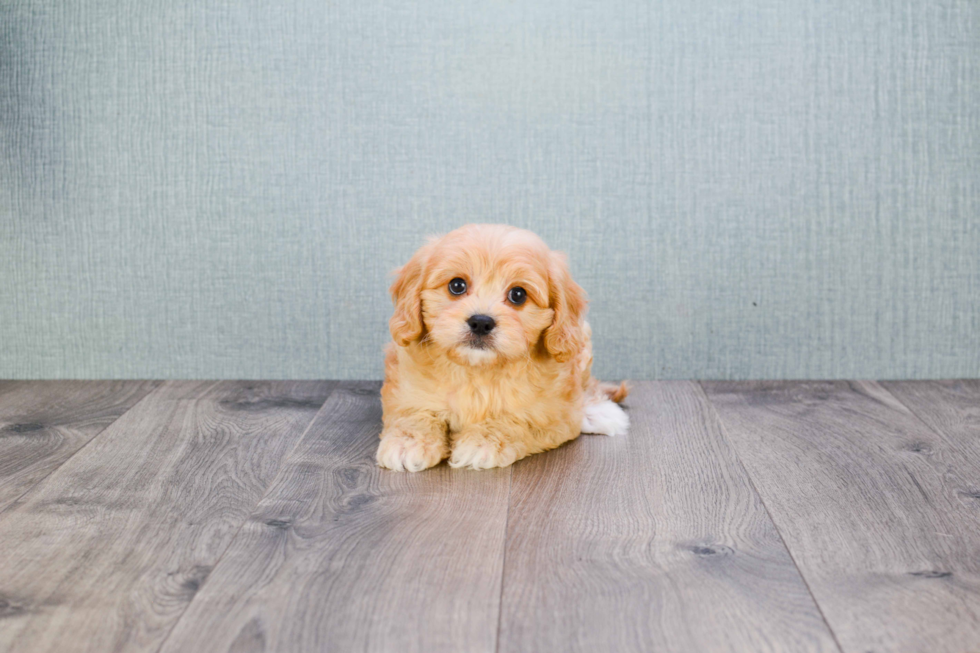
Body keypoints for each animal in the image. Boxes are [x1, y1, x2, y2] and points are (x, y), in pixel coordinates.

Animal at [376, 222, 628, 472]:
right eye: (456, 285)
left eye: (518, 294)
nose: (481, 322)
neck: (477, 370)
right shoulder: (404, 391)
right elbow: (413, 413)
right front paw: (407, 442)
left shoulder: (552, 413)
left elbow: (518, 420)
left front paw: (483, 442)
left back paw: (599, 413)